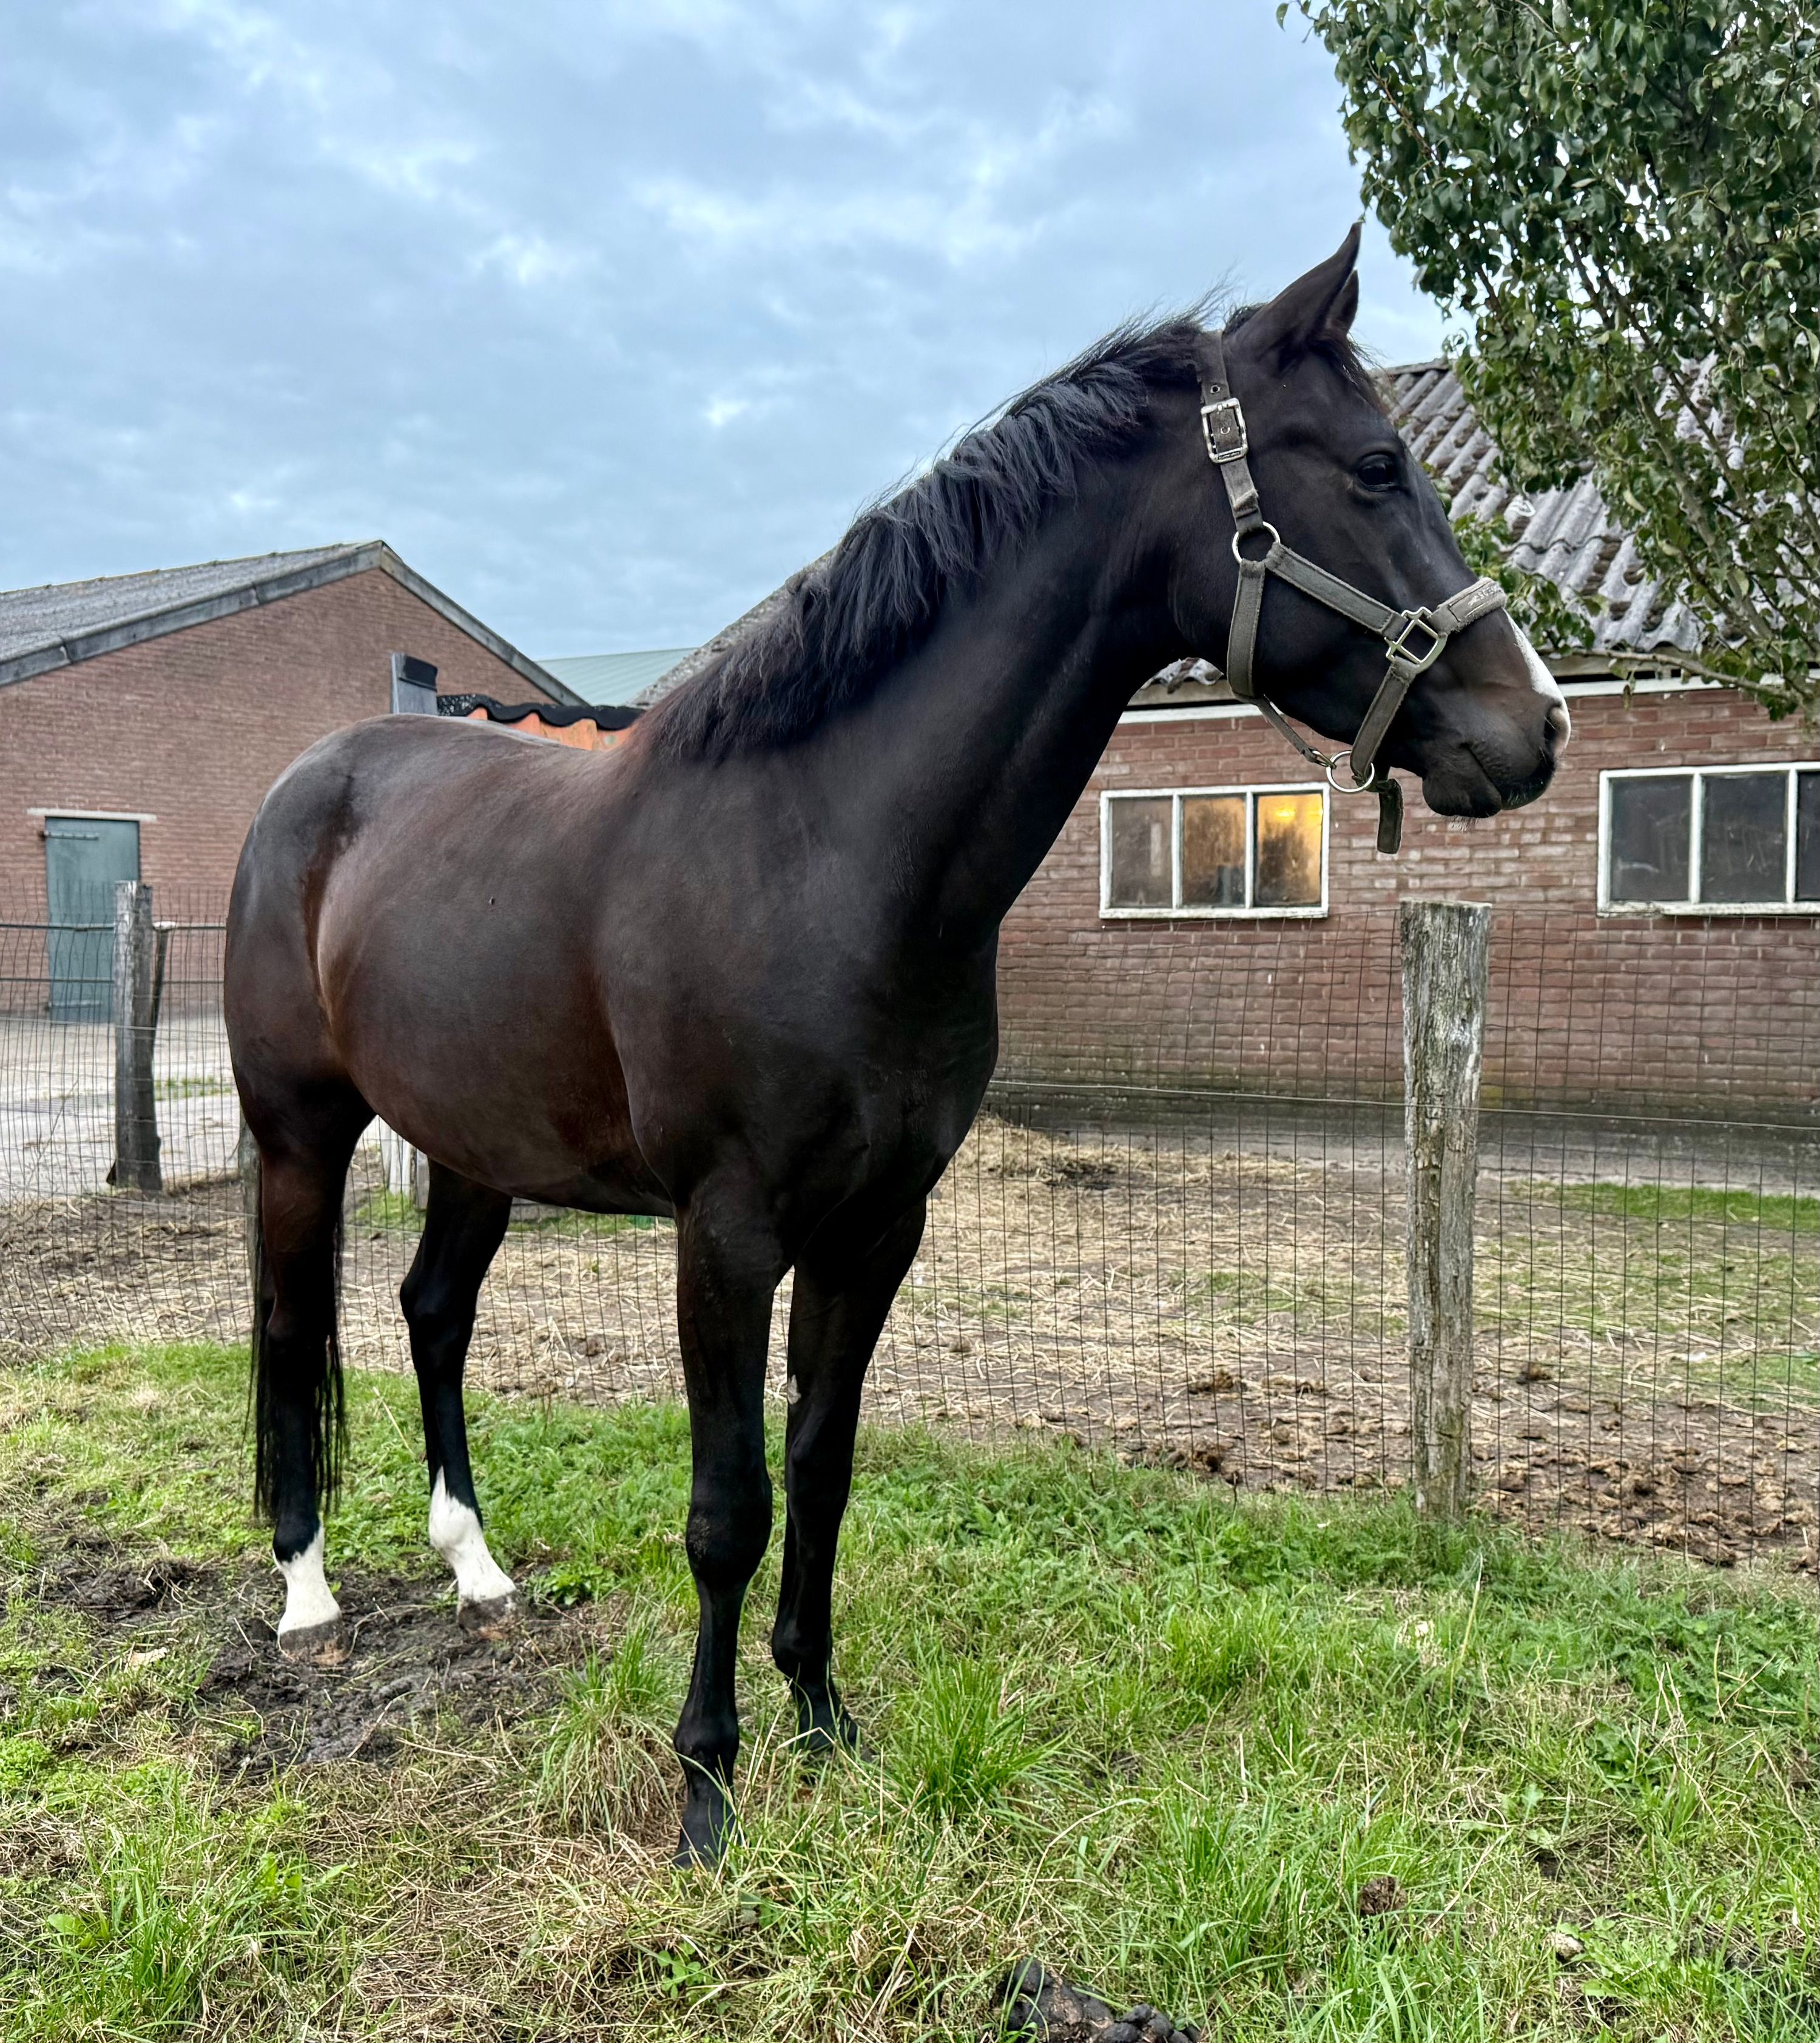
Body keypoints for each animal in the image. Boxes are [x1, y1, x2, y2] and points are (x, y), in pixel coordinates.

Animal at [223, 228, 1567, 1863]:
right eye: (1376, 468)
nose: (1537, 727)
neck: (826, 856)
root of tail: (312, 780)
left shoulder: (879, 1225)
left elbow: (824, 1464)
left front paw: (819, 1714)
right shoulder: (728, 1232)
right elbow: (728, 1506)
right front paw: (706, 1785)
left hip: (476, 1144)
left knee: (431, 1314)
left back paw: (476, 1571)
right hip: (300, 1131)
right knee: (288, 1323)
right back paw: (305, 1592)